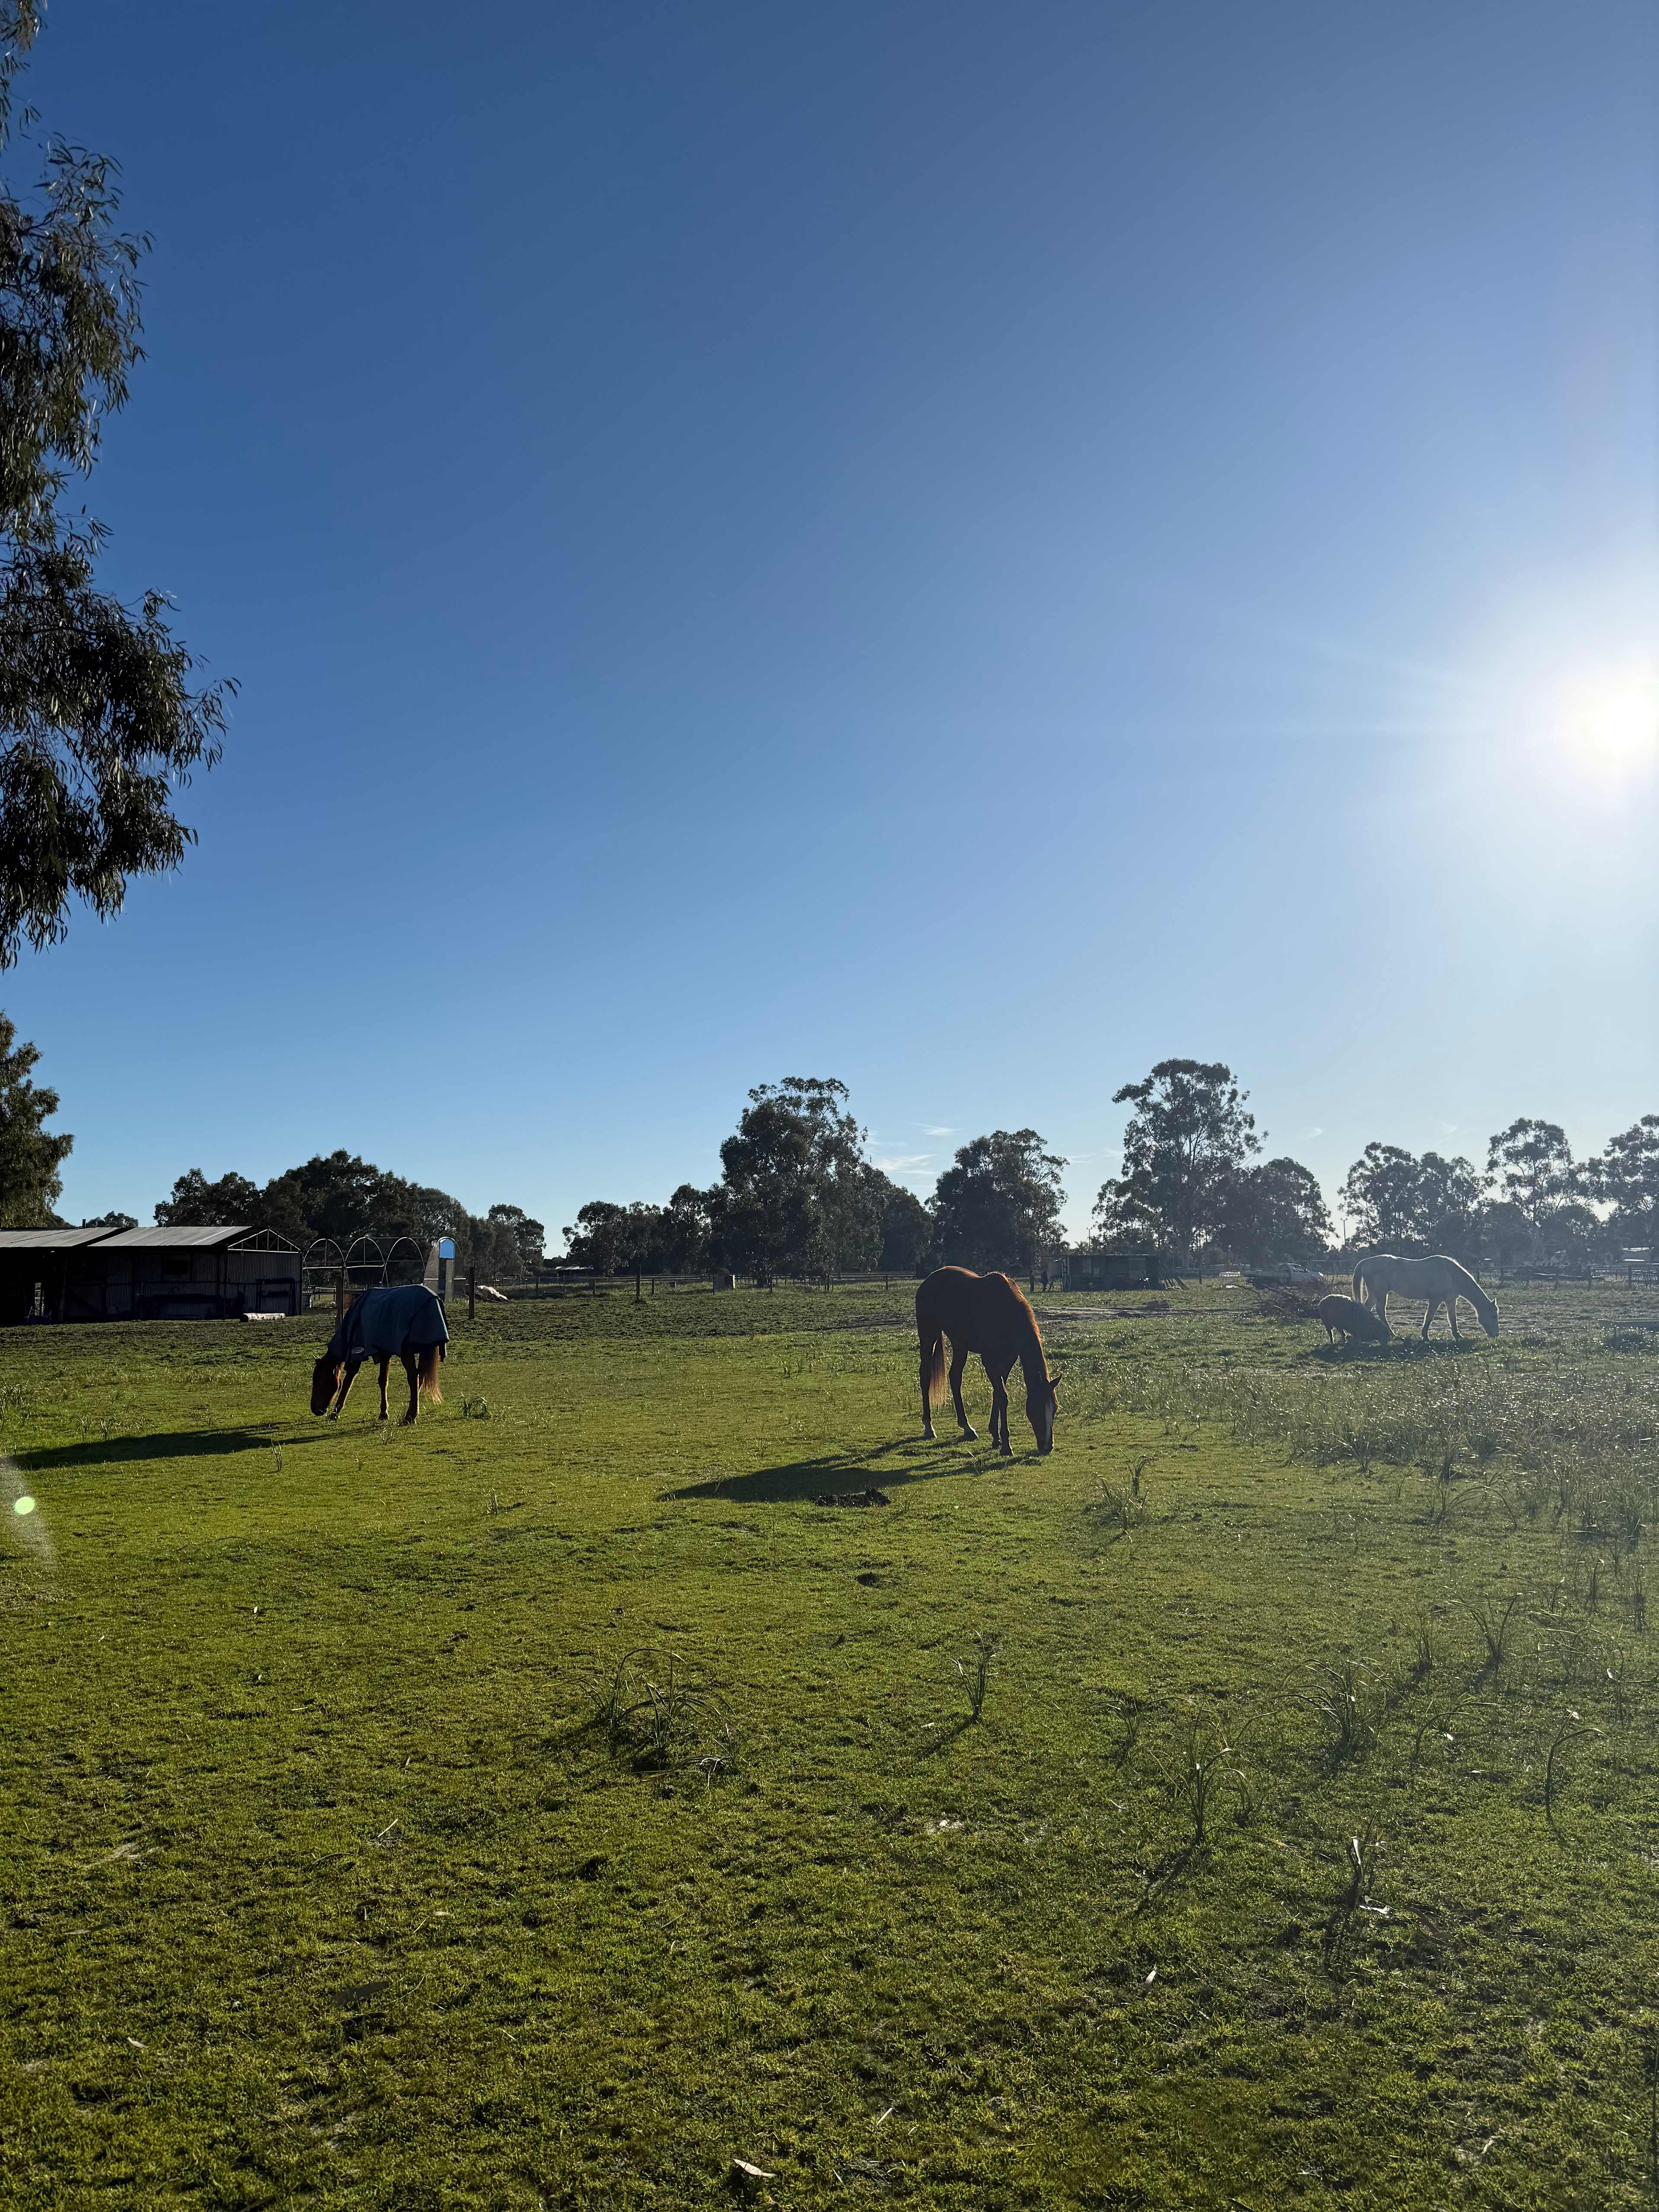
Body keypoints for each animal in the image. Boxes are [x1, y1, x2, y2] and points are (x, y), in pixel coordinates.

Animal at [311, 1283, 448, 1425]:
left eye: (320, 1380)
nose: (315, 1410)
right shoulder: (384, 1353)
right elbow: (383, 1381)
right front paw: (384, 1413)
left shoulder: (357, 1353)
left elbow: (348, 1381)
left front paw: (335, 1413)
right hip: (423, 1349)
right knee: (420, 1377)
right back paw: (412, 1411)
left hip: (407, 1353)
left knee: (413, 1378)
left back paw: (411, 1416)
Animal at [916, 1266, 1058, 1455]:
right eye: (1036, 1409)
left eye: (1055, 1409)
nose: (1047, 1447)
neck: (1005, 1313)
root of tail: (929, 1280)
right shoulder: (990, 1362)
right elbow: (1002, 1397)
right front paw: (1006, 1445)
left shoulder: (1008, 1361)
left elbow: (998, 1394)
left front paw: (996, 1436)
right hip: (929, 1336)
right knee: (925, 1376)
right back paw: (928, 1427)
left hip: (960, 1344)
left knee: (955, 1378)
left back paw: (967, 1428)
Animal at [1316, 1293, 1392, 1346]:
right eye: (1384, 1335)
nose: (1385, 1346)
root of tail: (1324, 1299)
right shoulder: (1355, 1329)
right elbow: (1357, 1337)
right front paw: (1359, 1345)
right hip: (1326, 1322)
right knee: (1330, 1333)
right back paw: (1332, 1342)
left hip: (1338, 1324)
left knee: (1342, 1333)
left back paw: (1345, 1342)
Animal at [1351, 1253, 1499, 1342]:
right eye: (1493, 1316)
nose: (1496, 1335)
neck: (1451, 1275)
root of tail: (1366, 1262)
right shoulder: (1435, 1299)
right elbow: (1429, 1317)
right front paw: (1425, 1337)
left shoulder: (1451, 1300)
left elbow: (1453, 1318)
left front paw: (1458, 1336)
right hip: (1381, 1294)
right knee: (1381, 1311)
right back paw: (1392, 1334)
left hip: (1374, 1294)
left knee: (1367, 1308)